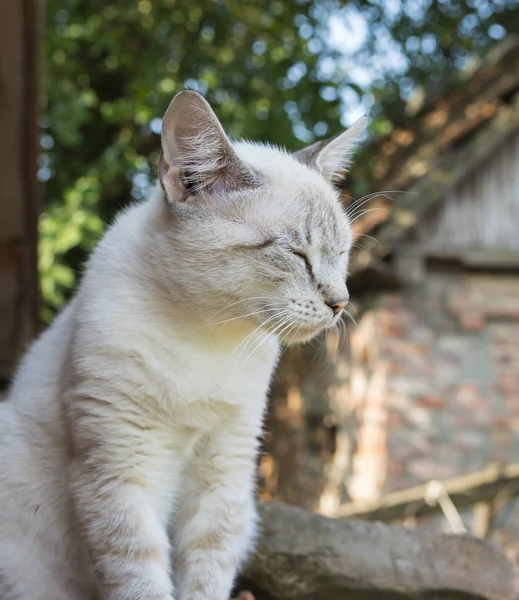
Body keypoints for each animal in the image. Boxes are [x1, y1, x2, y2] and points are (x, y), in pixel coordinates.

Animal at [0, 90, 366, 600]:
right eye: (298, 254)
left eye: (342, 254)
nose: (340, 302)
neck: (208, 334)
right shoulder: (121, 470)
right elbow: (141, 578)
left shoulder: (223, 477)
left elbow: (206, 576)